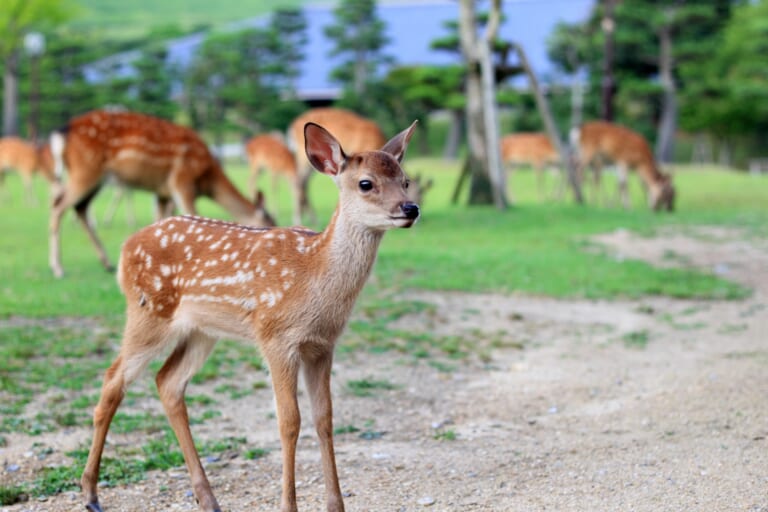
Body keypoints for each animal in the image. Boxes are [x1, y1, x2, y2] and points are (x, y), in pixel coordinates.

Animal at [48, 110, 276, 278]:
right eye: (270, 222)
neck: (207, 179)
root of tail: (62, 133)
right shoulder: (181, 180)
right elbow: (192, 215)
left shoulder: (163, 192)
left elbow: (161, 221)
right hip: (86, 169)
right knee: (58, 205)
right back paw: (58, 269)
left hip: (94, 177)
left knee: (80, 207)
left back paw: (106, 263)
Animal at [79, 120, 420, 512]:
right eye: (366, 183)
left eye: (405, 180)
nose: (411, 208)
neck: (315, 275)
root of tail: (125, 250)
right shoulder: (275, 336)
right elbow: (289, 422)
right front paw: (288, 506)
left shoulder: (322, 344)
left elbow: (325, 418)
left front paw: (336, 506)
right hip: (148, 312)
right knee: (113, 380)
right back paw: (90, 493)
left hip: (202, 331)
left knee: (168, 382)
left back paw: (208, 498)